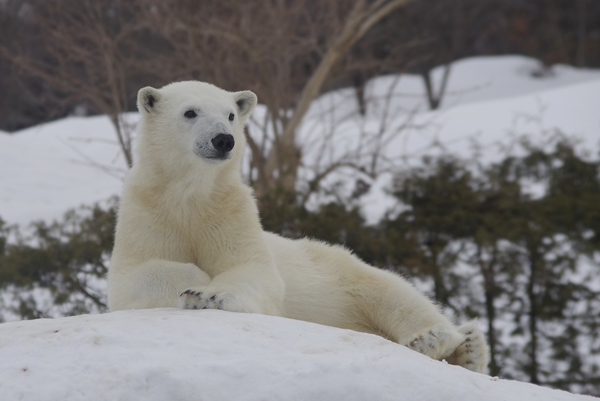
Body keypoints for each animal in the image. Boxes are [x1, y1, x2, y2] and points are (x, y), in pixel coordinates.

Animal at [109, 81, 488, 372]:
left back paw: (443, 341)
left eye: (230, 114)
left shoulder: (231, 212)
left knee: (389, 290)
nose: (223, 140)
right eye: (190, 112)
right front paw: (196, 280)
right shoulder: (146, 212)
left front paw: (207, 294)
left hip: (336, 270)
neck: (191, 196)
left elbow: (253, 270)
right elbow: (135, 276)